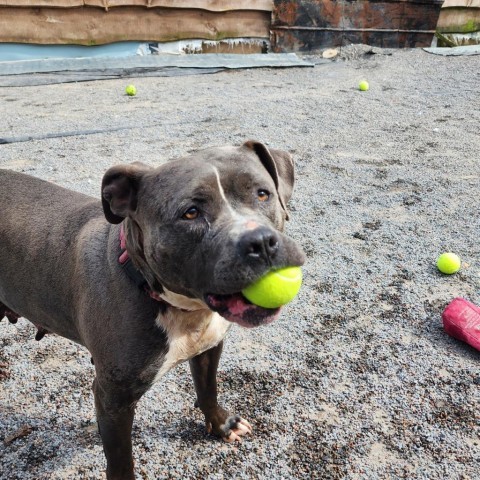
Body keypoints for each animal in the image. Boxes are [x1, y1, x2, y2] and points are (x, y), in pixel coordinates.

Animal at [0, 141, 304, 478]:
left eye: (263, 194)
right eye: (190, 213)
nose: (261, 242)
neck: (181, 308)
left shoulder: (208, 347)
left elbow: (207, 388)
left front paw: (221, 424)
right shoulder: (113, 399)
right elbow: (120, 459)